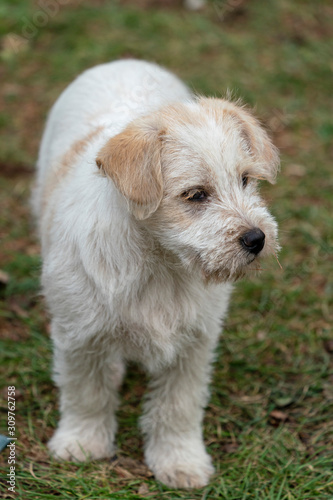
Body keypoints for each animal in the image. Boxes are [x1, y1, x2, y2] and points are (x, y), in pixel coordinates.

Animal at [33, 58, 278, 488]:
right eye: (195, 195)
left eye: (246, 179)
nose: (257, 238)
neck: (162, 264)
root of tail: (124, 61)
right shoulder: (79, 336)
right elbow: (85, 394)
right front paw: (82, 444)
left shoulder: (193, 346)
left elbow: (178, 406)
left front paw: (180, 461)